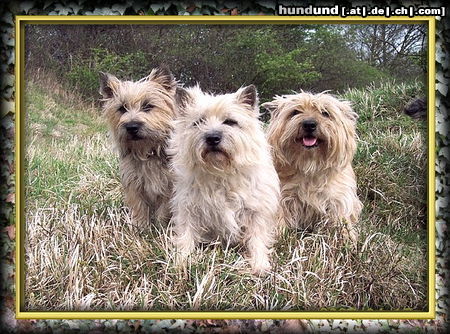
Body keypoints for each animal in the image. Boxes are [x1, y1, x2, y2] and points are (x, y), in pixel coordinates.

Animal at [99, 65, 177, 227]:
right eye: (122, 108)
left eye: (148, 106)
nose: (132, 126)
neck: (146, 151)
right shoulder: (133, 183)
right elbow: (138, 205)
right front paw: (140, 226)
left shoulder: (169, 185)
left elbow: (164, 209)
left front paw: (160, 226)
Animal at [169, 84, 280, 274]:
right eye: (199, 122)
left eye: (230, 122)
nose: (212, 138)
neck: (220, 172)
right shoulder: (188, 207)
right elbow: (186, 234)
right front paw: (181, 261)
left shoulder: (256, 211)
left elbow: (257, 237)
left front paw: (259, 264)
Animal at [264, 92, 362, 243]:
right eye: (295, 112)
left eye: (325, 113)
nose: (309, 124)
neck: (309, 165)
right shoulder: (283, 198)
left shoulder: (337, 198)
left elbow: (339, 218)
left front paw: (345, 237)